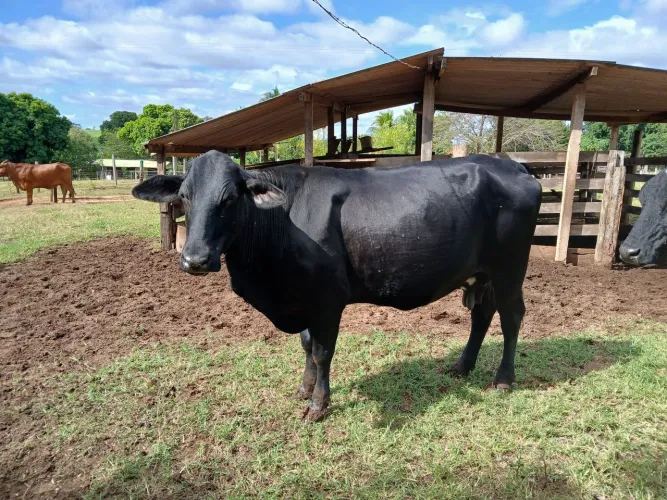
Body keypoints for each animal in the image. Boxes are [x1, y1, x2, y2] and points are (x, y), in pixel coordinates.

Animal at [132, 151, 542, 421]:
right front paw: (303, 389)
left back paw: (503, 379)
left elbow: (322, 352)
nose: (195, 259)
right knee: (482, 316)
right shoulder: (303, 298)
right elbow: (305, 344)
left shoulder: (328, 300)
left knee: (511, 318)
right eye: (184, 196)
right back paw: (462, 366)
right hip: (483, 273)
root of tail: (512, 164)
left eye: (230, 198)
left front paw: (318, 404)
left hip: (510, 268)